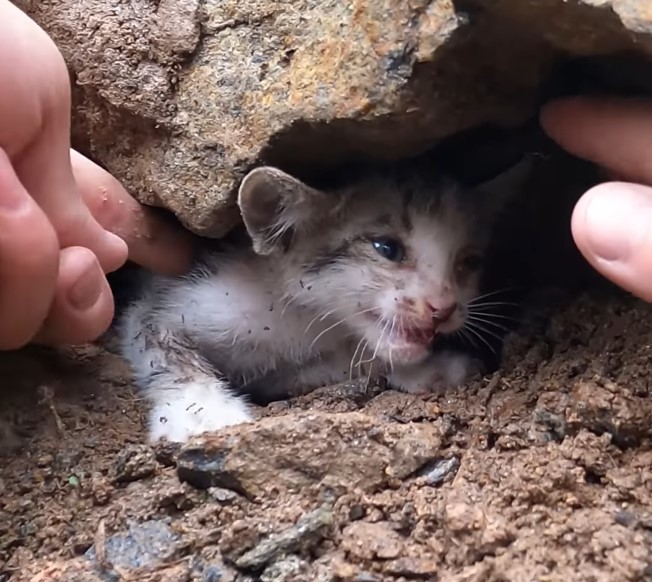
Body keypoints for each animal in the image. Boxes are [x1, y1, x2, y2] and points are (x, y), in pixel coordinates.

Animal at [117, 157, 528, 444]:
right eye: (386, 248)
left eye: (468, 262)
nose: (443, 308)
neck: (300, 320)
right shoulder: (166, 302)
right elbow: (162, 348)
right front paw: (203, 412)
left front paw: (430, 369)